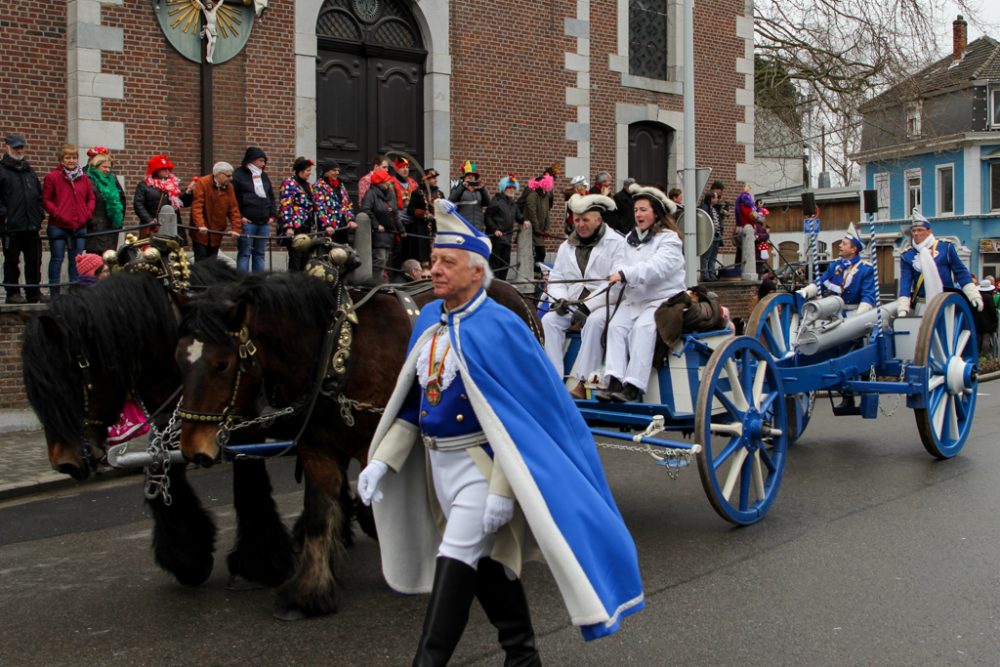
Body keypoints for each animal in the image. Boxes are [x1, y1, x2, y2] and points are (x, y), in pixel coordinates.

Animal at [176, 268, 544, 620]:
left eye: (221, 364)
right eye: (179, 359)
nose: (193, 448)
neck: (336, 353)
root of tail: (518, 294)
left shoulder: (375, 443)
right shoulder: (318, 449)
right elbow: (318, 514)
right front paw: (308, 593)